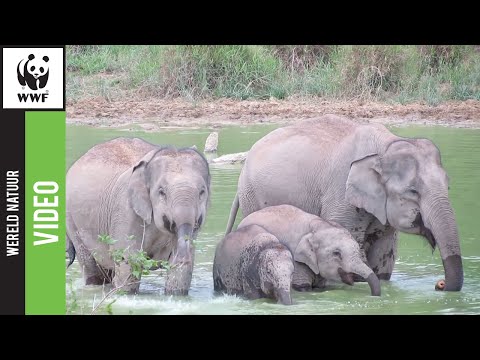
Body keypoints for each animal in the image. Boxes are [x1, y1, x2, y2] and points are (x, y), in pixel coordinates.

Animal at [66, 138, 210, 296]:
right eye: (161, 192)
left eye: (202, 192)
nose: (183, 258)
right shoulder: (125, 210)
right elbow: (129, 263)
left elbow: (180, 275)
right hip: (72, 220)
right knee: (92, 267)